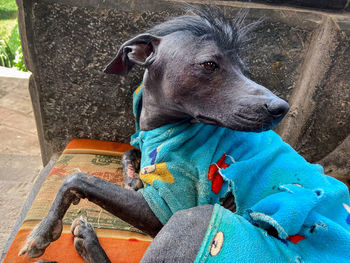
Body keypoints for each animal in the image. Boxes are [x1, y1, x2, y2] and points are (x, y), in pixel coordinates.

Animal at [19, 4, 350, 263]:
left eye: (243, 70)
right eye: (209, 65)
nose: (281, 107)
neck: (159, 127)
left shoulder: (165, 209)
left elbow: (77, 178)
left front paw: (40, 234)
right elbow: (129, 151)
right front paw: (133, 177)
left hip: (194, 224)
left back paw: (84, 243)